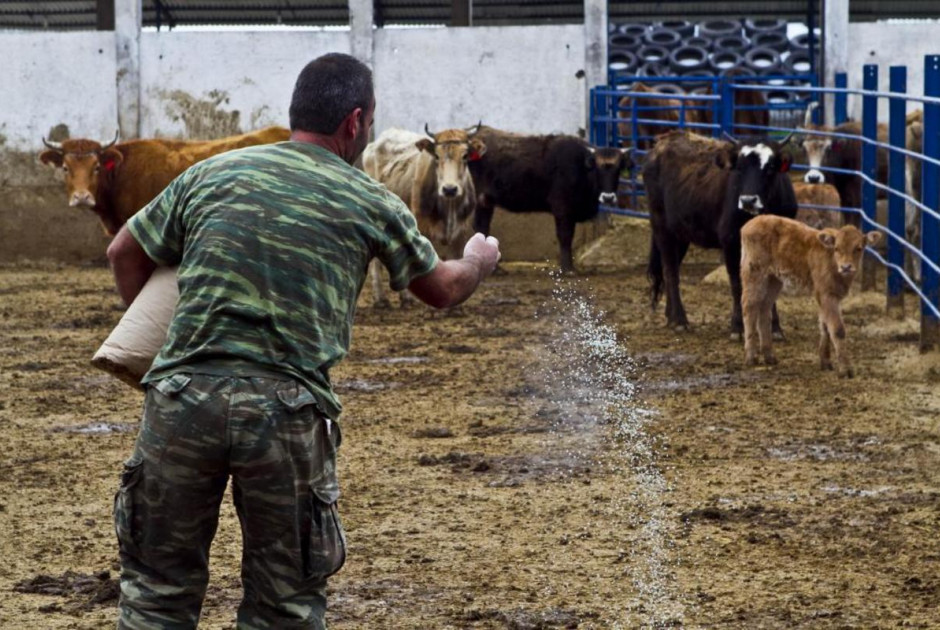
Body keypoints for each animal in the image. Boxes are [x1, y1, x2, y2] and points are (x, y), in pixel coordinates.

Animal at [648, 130, 792, 340]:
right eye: (739, 167)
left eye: (771, 167)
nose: (748, 200)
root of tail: (662, 142)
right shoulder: (731, 244)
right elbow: (737, 284)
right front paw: (738, 328)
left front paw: (774, 328)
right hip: (662, 228)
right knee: (670, 271)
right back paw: (680, 320)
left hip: (680, 235)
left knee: (670, 270)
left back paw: (671, 316)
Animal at [740, 215, 880, 378]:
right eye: (837, 248)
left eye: (858, 248)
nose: (846, 267)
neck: (832, 263)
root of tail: (752, 222)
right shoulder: (826, 294)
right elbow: (837, 329)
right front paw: (846, 370)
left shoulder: (829, 295)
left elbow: (825, 325)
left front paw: (825, 362)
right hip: (754, 272)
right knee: (749, 307)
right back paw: (751, 357)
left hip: (773, 279)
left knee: (764, 308)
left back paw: (769, 356)